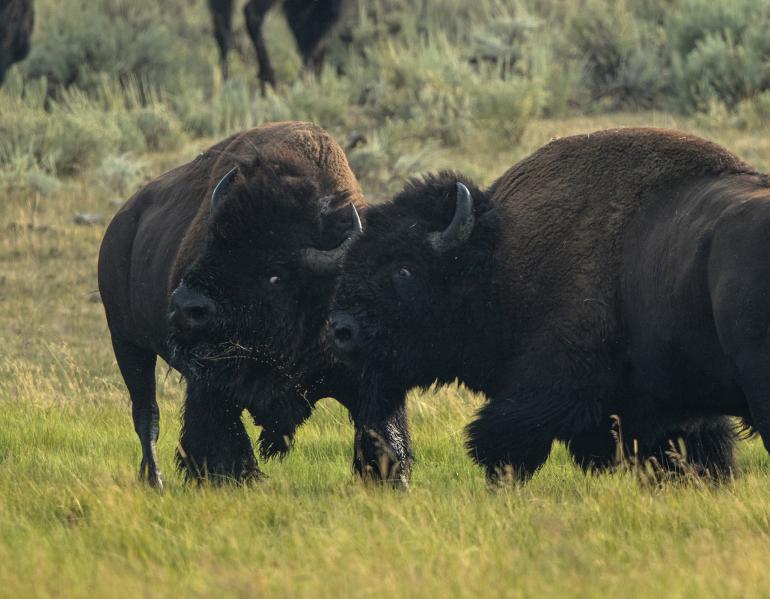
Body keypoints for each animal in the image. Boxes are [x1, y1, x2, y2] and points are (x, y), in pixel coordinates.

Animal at [99, 121, 412, 489]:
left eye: (274, 275)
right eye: (212, 241)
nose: (184, 306)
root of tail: (119, 225)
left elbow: (383, 434)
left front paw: (394, 482)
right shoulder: (209, 383)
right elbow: (219, 439)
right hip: (128, 344)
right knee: (147, 414)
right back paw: (154, 482)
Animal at [207, 0, 349, 90]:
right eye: (327, 16)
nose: (317, 71)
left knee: (221, 26)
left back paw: (225, 81)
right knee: (250, 13)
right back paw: (269, 80)